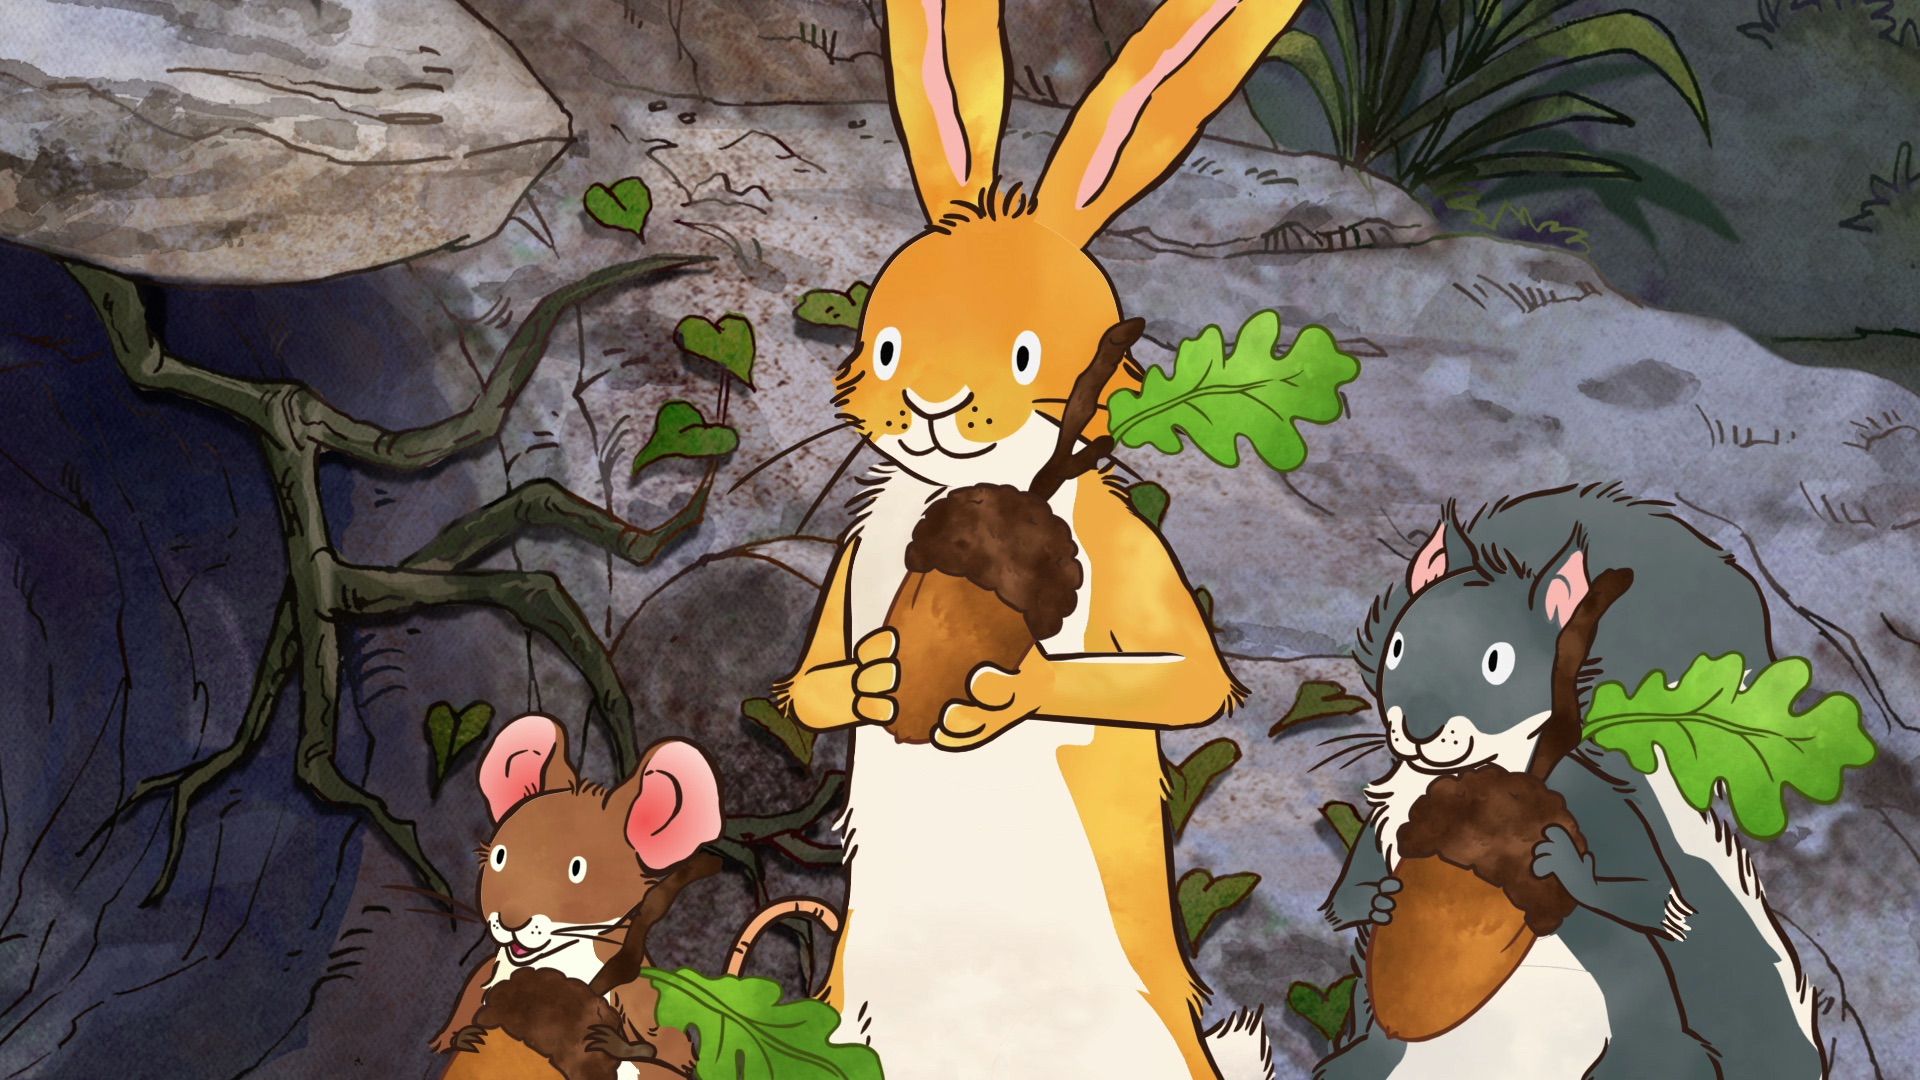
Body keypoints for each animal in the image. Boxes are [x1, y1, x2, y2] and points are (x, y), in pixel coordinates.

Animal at [772, 1, 1307, 1077]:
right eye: (885, 346)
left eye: (1025, 355)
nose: (932, 404)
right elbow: (813, 684)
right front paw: (875, 683)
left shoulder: (1127, 554)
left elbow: (1186, 678)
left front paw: (1007, 692)